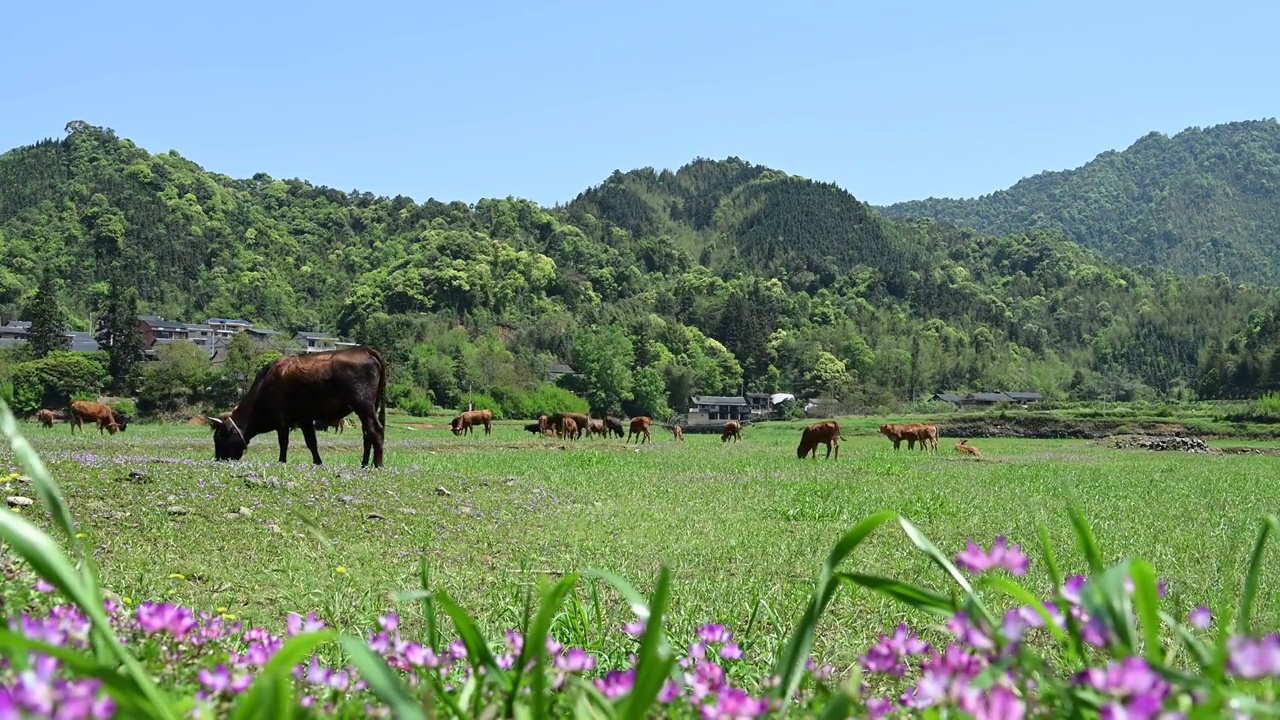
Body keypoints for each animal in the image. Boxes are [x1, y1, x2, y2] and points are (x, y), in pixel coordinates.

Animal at [207, 345, 386, 466]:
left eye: (219, 436)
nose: (218, 459)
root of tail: (365, 350)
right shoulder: (305, 418)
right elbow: (311, 443)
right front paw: (318, 462)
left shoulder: (282, 418)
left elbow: (283, 441)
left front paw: (281, 461)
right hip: (370, 406)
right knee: (367, 434)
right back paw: (364, 463)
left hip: (363, 406)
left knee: (375, 430)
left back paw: (378, 464)